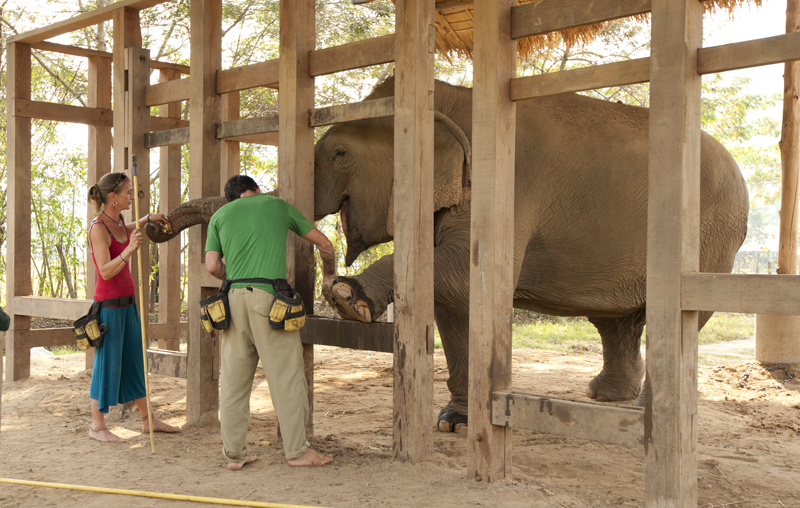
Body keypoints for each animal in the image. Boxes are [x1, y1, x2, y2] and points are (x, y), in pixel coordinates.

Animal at [147, 77, 749, 433]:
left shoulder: (507, 182)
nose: (153, 227)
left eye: (339, 153)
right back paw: (606, 400)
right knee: (617, 321)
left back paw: (646, 415)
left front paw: (347, 299)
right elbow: (455, 299)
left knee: (679, 317)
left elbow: (462, 275)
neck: (450, 98)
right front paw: (452, 422)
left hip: (712, 238)